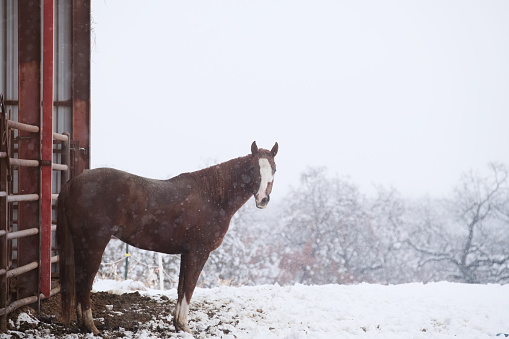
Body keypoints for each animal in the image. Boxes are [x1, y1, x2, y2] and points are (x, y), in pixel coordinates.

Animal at [56, 141, 278, 334]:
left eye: (274, 169)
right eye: (252, 168)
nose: (263, 200)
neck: (212, 197)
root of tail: (72, 182)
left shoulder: (186, 253)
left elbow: (181, 288)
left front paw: (178, 325)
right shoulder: (199, 252)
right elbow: (189, 288)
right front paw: (185, 326)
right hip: (94, 243)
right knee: (85, 283)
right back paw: (91, 327)